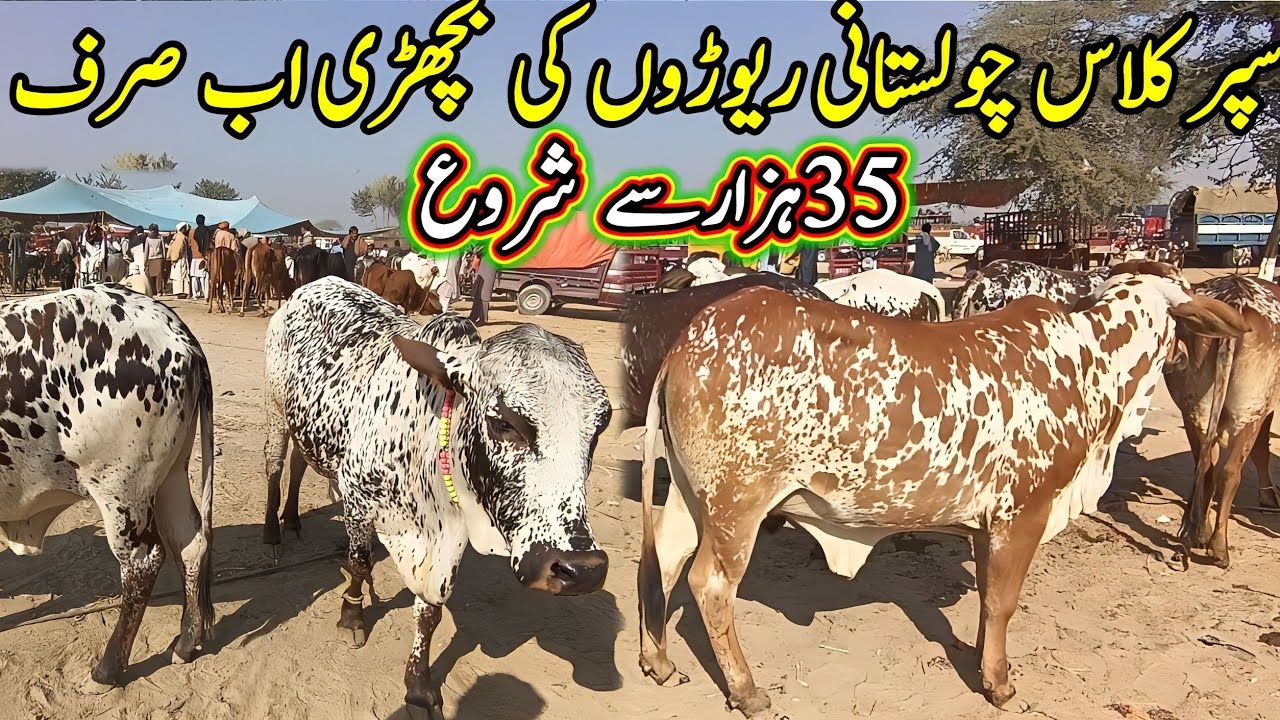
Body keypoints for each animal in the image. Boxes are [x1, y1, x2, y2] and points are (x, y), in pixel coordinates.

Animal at [0, 284, 215, 691]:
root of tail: (177, 331)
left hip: (120, 491)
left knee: (143, 564)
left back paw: (108, 669)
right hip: (171, 476)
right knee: (190, 543)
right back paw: (186, 642)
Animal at [262, 277, 612, 717]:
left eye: (601, 425)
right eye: (504, 423)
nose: (581, 569)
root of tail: (311, 286)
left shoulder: (448, 537)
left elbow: (430, 612)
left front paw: (418, 686)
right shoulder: (357, 496)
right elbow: (359, 563)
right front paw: (352, 615)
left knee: (298, 464)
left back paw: (293, 520)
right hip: (275, 409)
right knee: (275, 465)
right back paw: (273, 533)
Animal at [1165, 275, 1280, 568]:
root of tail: (1235, 298)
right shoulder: (1266, 408)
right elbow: (1262, 451)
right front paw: (1268, 496)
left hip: (1195, 409)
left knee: (1205, 467)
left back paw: (1199, 533)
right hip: (1250, 409)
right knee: (1229, 472)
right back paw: (1219, 548)